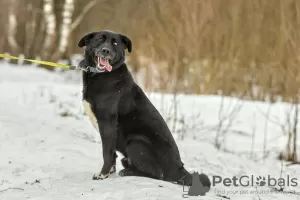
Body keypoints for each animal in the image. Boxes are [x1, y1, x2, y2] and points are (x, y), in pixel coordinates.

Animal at [77, 29, 210, 186]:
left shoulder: (108, 123)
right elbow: (112, 153)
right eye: (99, 39)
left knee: (158, 175)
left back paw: (129, 172)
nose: (106, 51)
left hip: (136, 142)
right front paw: (109, 173)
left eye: (115, 43)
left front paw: (102, 174)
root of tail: (179, 169)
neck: (102, 75)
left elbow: (107, 152)